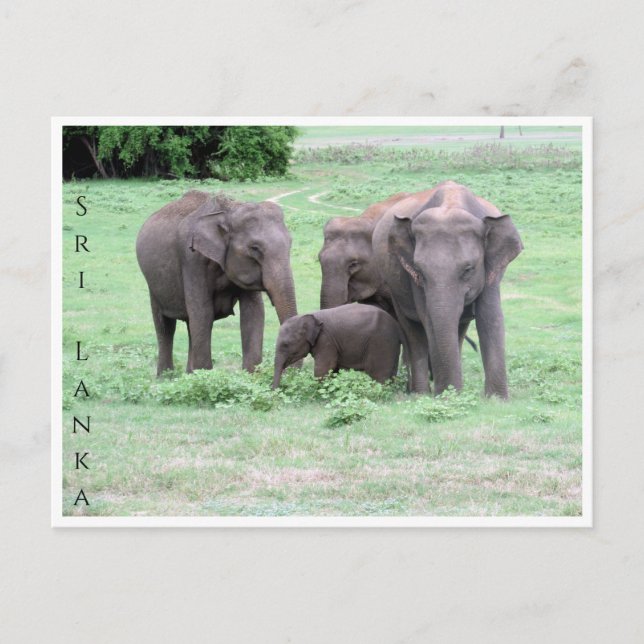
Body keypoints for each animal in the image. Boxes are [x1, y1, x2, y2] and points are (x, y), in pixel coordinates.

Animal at [136, 190, 298, 375]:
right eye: (255, 248)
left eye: (290, 244)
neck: (229, 211)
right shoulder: (192, 259)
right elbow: (203, 312)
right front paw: (204, 377)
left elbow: (253, 312)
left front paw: (250, 377)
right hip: (153, 283)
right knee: (166, 325)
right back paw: (166, 378)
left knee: (190, 325)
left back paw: (188, 375)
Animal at [271, 303, 402, 388]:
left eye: (286, 344)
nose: (276, 390)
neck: (309, 316)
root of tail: (396, 326)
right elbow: (333, 369)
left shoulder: (326, 341)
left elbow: (323, 368)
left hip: (382, 342)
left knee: (379, 375)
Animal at [372, 181, 523, 398]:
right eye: (419, 270)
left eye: (468, 269)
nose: (449, 392)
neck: (451, 203)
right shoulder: (412, 275)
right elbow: (428, 319)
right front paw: (448, 397)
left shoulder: (492, 267)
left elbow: (490, 316)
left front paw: (496, 399)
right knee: (413, 332)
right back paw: (420, 394)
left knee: (459, 328)